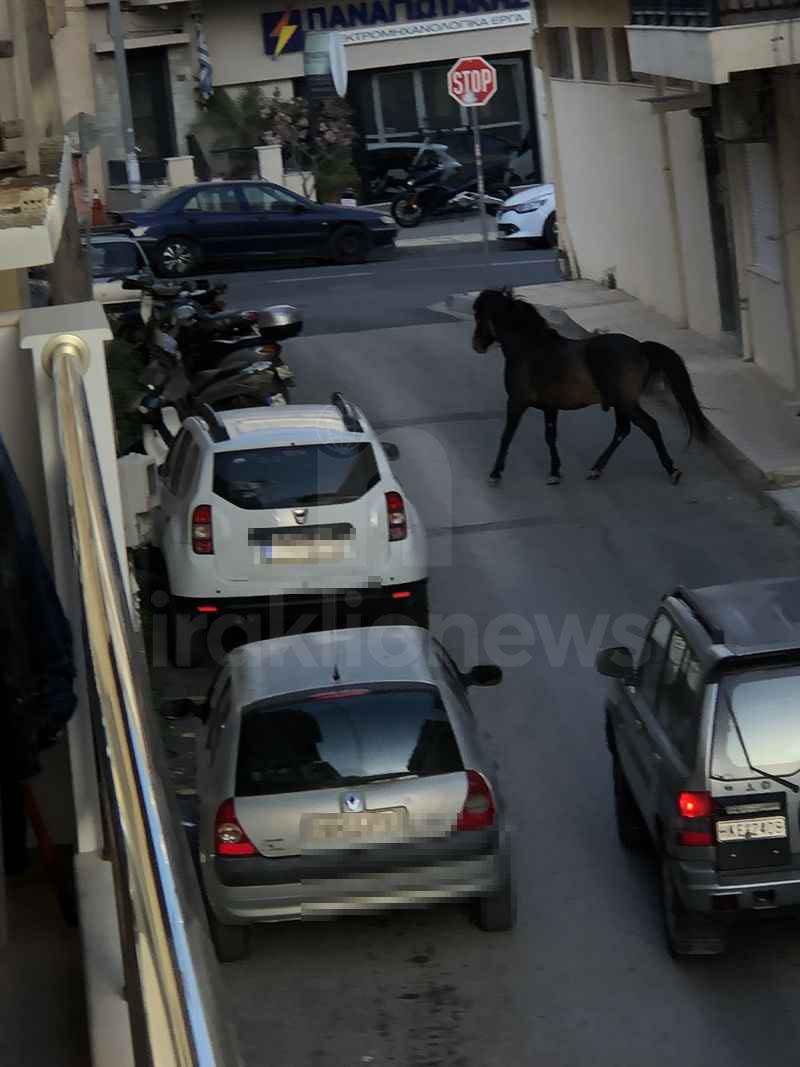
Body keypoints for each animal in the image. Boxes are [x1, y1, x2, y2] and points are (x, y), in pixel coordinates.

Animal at [473, 288, 712, 488]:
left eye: (478, 315)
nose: (476, 345)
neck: (529, 348)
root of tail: (641, 348)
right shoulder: (550, 407)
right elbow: (549, 436)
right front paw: (554, 472)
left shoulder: (516, 402)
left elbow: (507, 436)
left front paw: (495, 473)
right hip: (620, 404)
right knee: (622, 430)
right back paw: (596, 468)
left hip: (626, 402)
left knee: (649, 426)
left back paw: (671, 469)